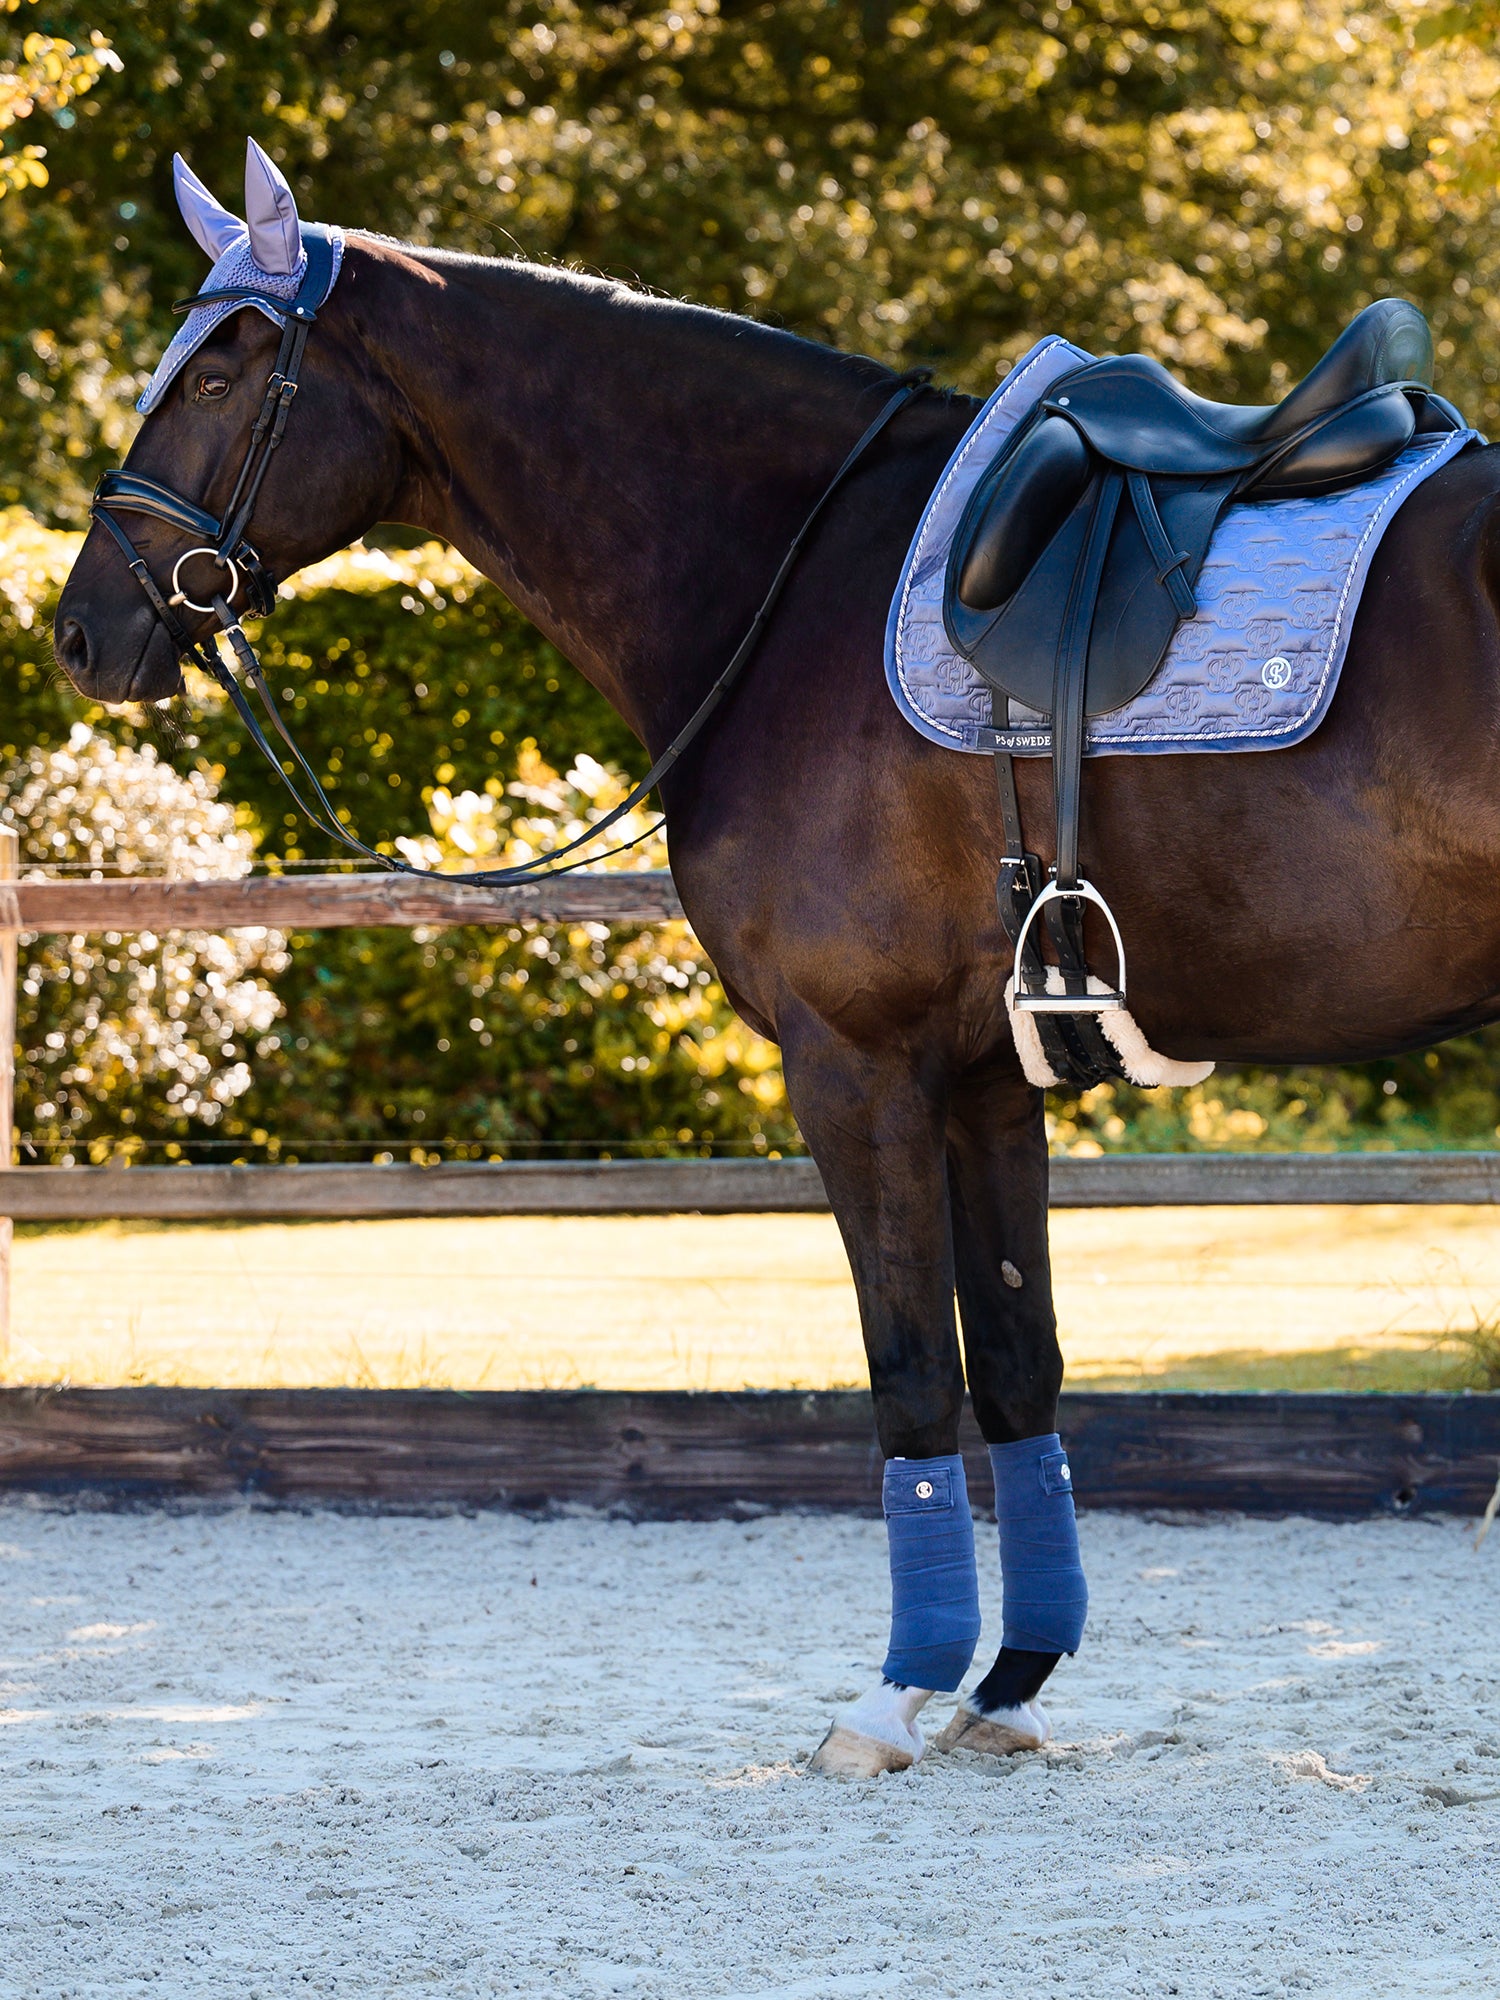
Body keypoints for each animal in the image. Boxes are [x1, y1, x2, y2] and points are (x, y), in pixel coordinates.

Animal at [53, 156, 1500, 1784]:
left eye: (218, 373)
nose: (81, 630)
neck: (797, 571)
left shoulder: (852, 1064)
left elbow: (909, 1369)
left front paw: (895, 1692)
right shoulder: (986, 1079)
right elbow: (1018, 1364)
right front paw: (1010, 1684)